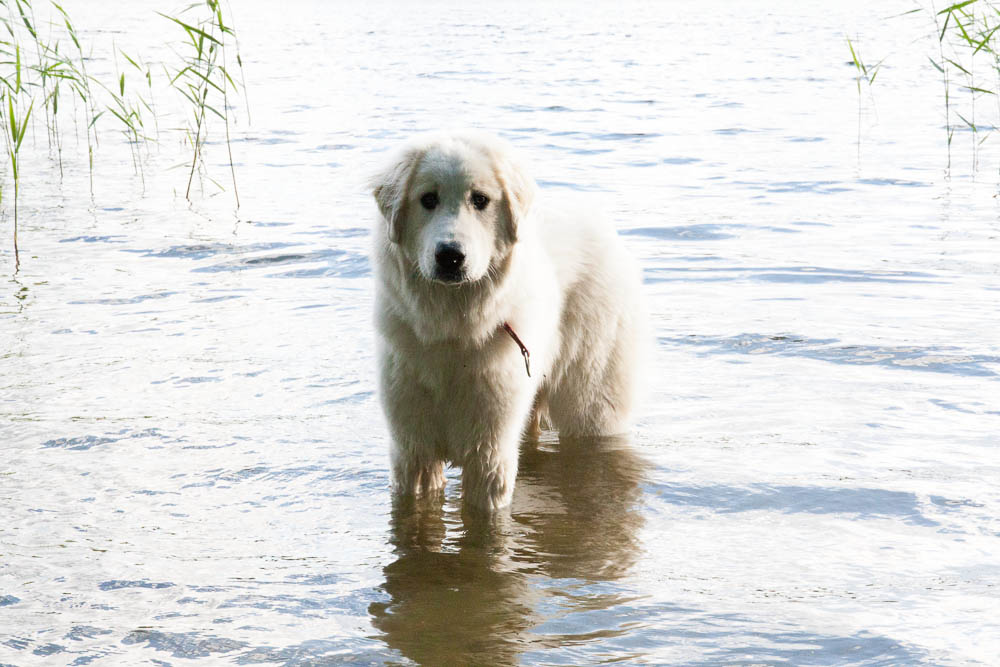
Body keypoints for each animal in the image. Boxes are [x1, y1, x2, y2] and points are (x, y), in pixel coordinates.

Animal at [372, 133, 644, 516]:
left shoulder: (489, 453)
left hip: (589, 406)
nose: (450, 256)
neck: (454, 329)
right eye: (428, 199)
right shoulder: (413, 450)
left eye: (480, 200)